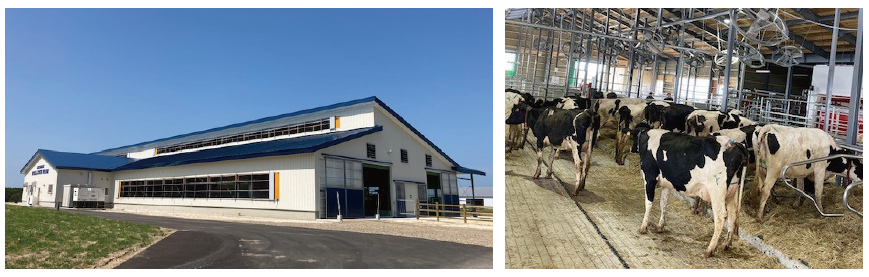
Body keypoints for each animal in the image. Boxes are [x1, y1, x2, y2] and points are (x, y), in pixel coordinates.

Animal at [628, 125, 748, 256]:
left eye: (633, 137)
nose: (630, 149)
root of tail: (734, 143)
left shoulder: (649, 178)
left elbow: (649, 203)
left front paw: (643, 227)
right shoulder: (666, 183)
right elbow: (663, 203)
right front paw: (660, 226)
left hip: (717, 191)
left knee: (721, 216)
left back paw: (709, 249)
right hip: (732, 191)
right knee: (732, 214)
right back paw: (726, 244)